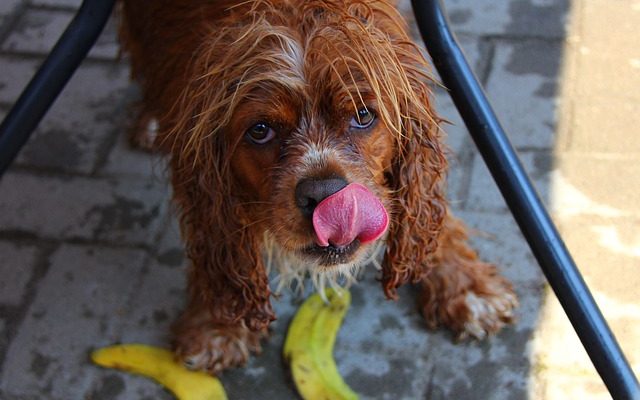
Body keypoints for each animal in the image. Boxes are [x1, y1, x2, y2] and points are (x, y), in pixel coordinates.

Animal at [119, 0, 520, 376]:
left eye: (363, 115)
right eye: (260, 130)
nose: (326, 195)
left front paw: (464, 283)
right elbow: (219, 241)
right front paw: (216, 321)